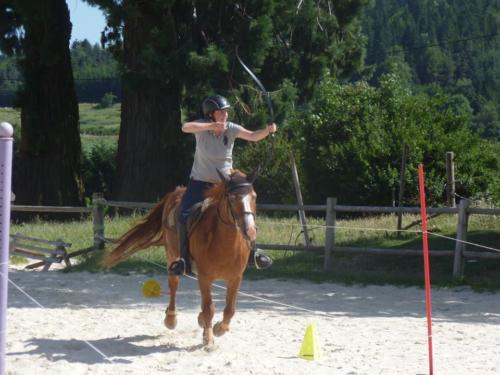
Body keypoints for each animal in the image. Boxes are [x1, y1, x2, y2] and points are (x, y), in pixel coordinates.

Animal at [102, 169, 258, 352]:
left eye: (254, 197)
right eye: (232, 198)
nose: (250, 231)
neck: (224, 242)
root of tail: (176, 192)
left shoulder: (235, 278)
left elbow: (230, 309)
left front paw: (219, 329)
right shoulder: (205, 277)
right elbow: (209, 309)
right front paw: (210, 340)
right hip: (172, 255)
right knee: (174, 286)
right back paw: (171, 319)